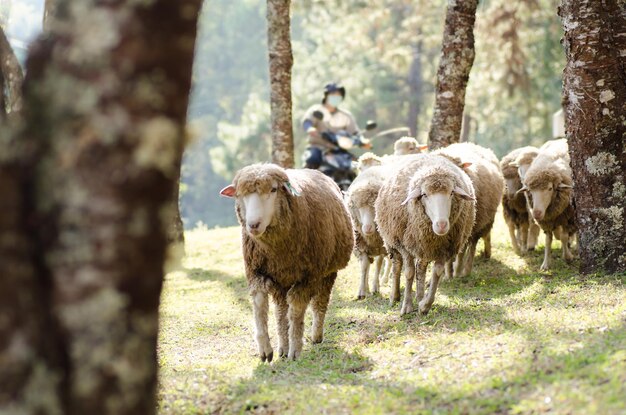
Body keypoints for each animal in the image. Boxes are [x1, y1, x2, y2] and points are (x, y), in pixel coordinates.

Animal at [218, 163, 354, 360]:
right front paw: (265, 348)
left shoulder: (308, 277)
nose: (253, 225)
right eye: (240, 195)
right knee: (281, 311)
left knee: (320, 303)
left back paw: (316, 335)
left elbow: (297, 309)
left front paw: (295, 349)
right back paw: (282, 346)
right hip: (281, 279)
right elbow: (259, 305)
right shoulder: (256, 271)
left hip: (328, 271)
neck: (277, 250)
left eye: (274, 189)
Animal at [344, 165, 388, 300]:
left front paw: (375, 287)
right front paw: (362, 291)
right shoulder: (361, 245)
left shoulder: (382, 246)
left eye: (375, 205)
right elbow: (364, 266)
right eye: (356, 207)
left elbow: (378, 264)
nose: (367, 228)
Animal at [376, 154, 472, 316]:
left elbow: (437, 273)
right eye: (424, 194)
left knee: (420, 268)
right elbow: (408, 273)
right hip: (392, 241)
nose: (442, 225)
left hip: (423, 247)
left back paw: (420, 296)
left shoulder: (442, 249)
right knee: (397, 266)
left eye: (451, 193)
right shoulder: (405, 246)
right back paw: (394, 297)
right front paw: (406, 307)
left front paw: (424, 305)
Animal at [434, 144, 502, 280]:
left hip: (480, 220)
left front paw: (457, 271)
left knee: (474, 244)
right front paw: (448, 275)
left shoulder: (466, 226)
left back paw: (467, 269)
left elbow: (463, 251)